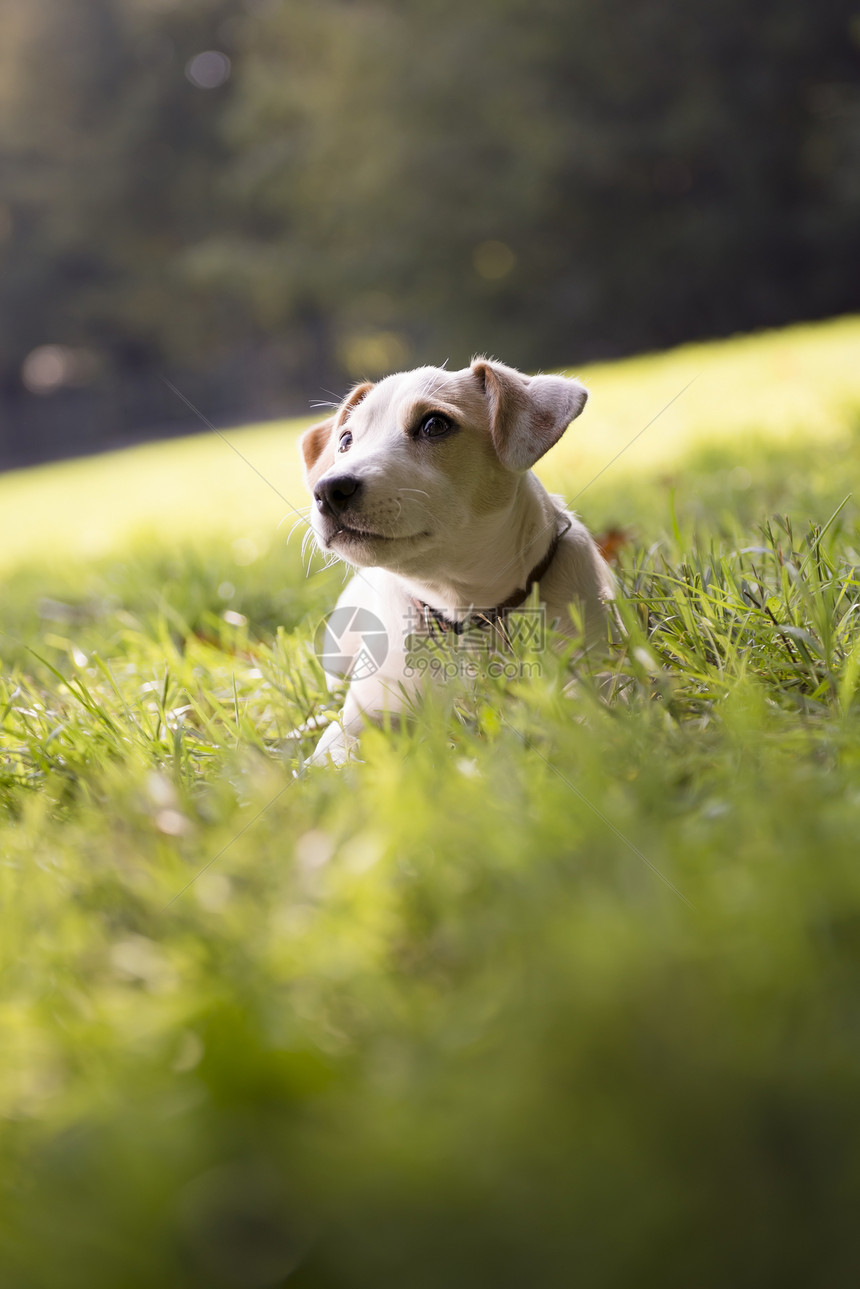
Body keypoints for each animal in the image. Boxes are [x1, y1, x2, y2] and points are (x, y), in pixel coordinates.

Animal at [301, 358, 611, 757]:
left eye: (435, 425)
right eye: (345, 441)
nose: (328, 490)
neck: (462, 607)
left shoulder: (597, 672)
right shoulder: (363, 714)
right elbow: (331, 755)